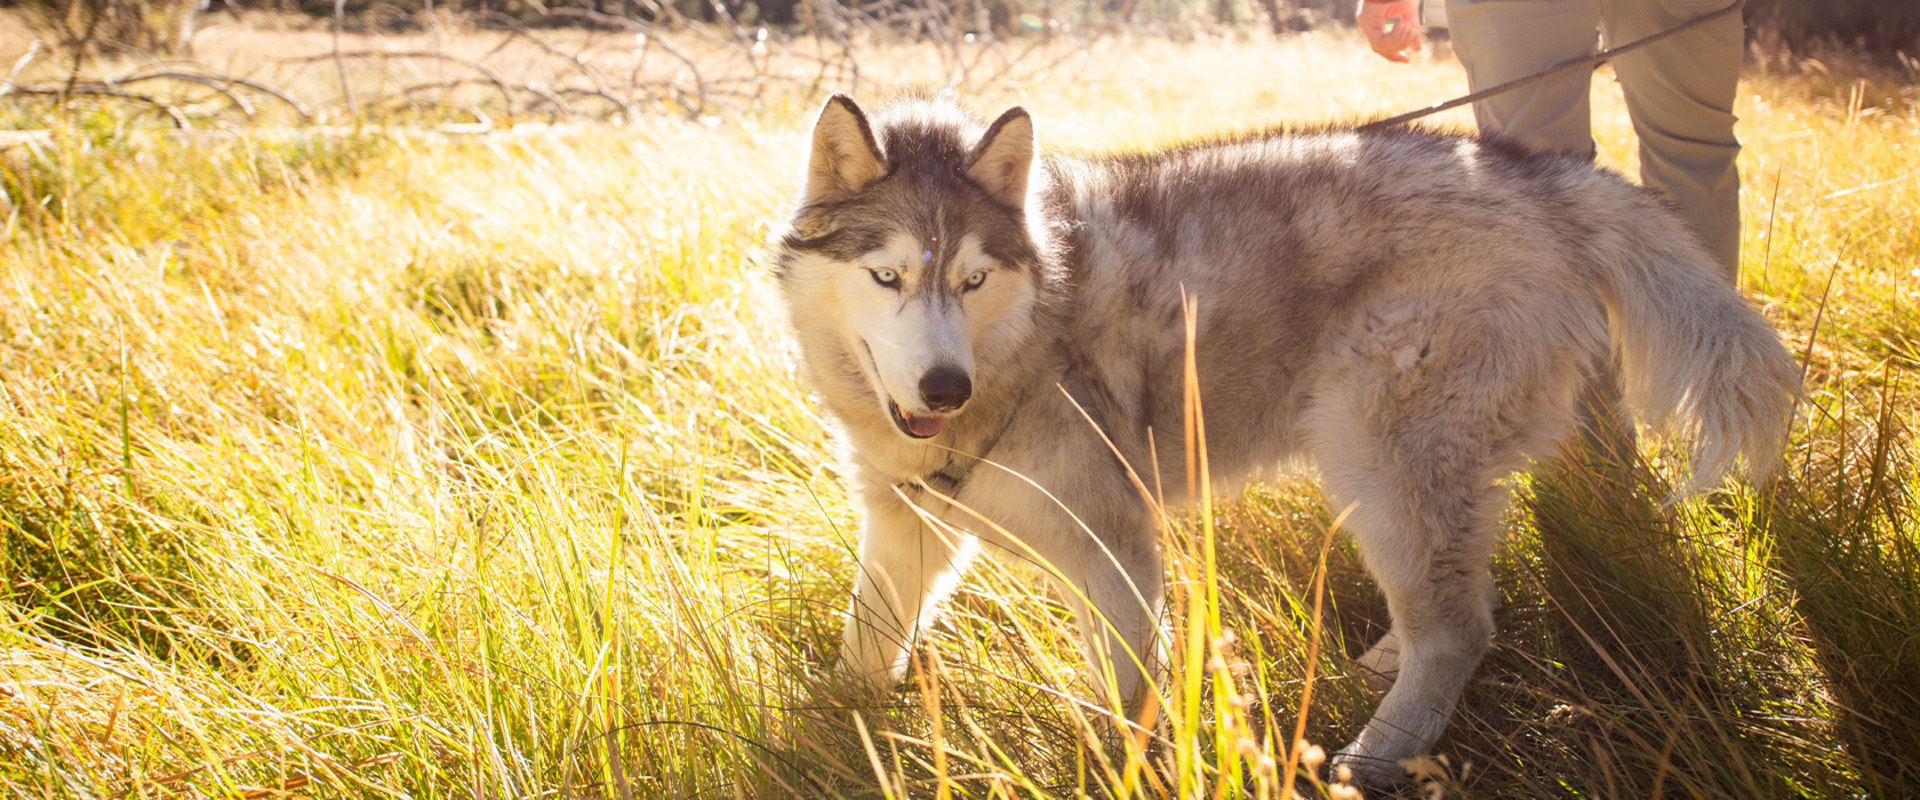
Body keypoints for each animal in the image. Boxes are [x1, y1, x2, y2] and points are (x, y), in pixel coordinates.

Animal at [768, 93, 1797, 778]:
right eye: (889, 277)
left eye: (973, 280)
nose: (946, 385)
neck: (1025, 341)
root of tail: (1541, 175)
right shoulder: (904, 530)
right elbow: (864, 649)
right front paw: (828, 735)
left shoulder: (1117, 551)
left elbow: (1128, 709)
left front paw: (1122, 774)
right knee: (1464, 595)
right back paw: (1386, 660)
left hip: (1373, 460)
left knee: (1460, 629)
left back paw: (1375, 757)